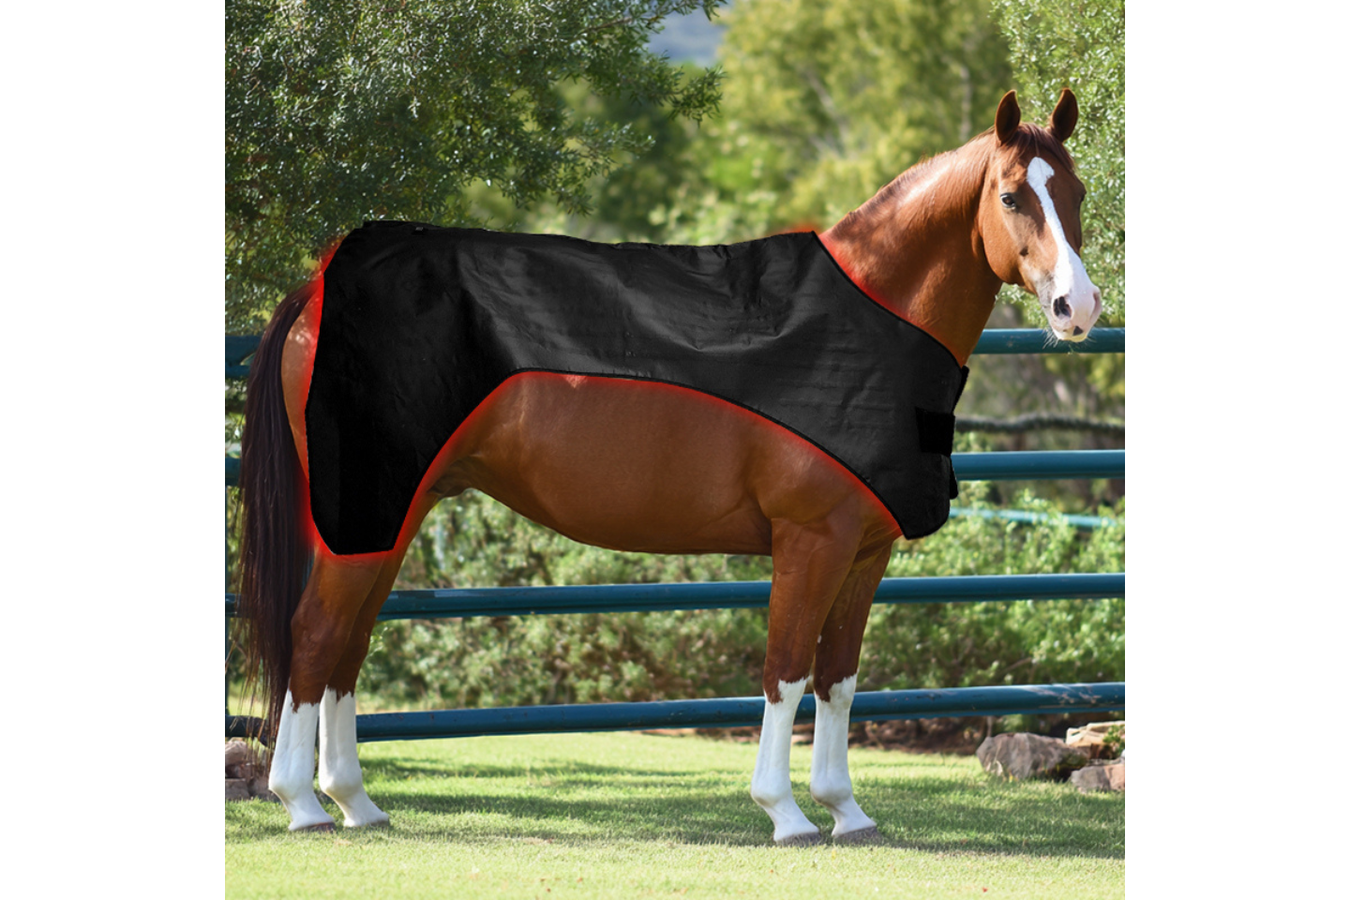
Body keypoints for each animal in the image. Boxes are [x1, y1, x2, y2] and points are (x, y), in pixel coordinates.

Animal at [235, 88, 1101, 844]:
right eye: (1013, 197)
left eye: (1079, 191)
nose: (1078, 308)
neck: (865, 326)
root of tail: (317, 291)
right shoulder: (809, 540)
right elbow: (787, 671)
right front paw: (786, 814)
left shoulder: (864, 551)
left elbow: (839, 677)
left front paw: (846, 812)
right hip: (363, 517)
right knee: (316, 634)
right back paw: (302, 805)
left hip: (392, 516)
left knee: (348, 647)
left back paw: (356, 803)